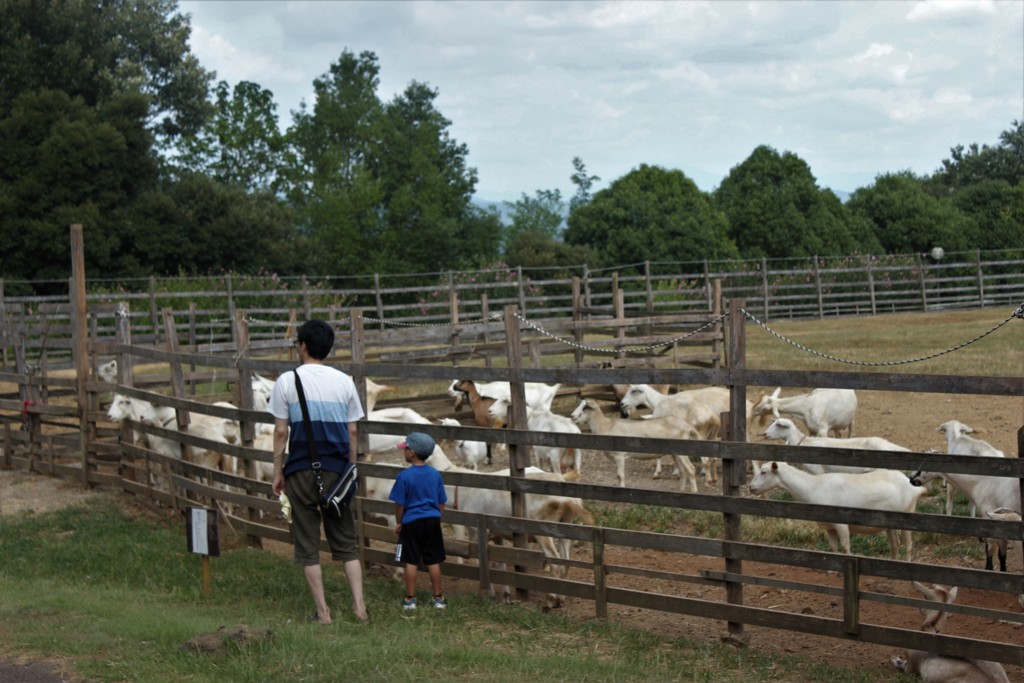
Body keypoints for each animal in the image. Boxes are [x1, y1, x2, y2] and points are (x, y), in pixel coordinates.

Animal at [745, 458, 929, 561]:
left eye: (764, 472)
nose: (751, 487)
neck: (813, 487)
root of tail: (913, 486)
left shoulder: (841, 524)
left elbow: (845, 547)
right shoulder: (829, 527)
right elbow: (833, 548)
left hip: (908, 514)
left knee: (908, 544)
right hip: (890, 522)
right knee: (895, 544)